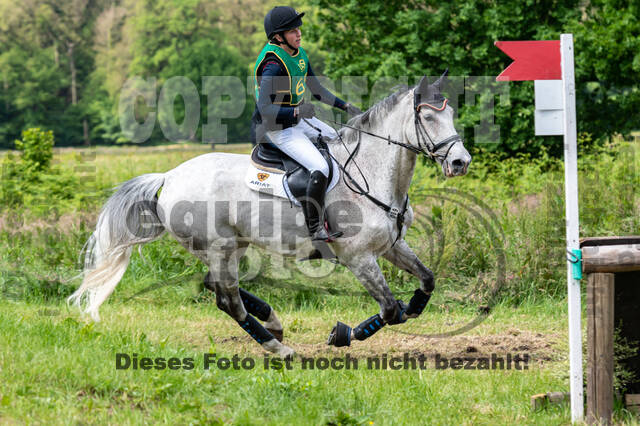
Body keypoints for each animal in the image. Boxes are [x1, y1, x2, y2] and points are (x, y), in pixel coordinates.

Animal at [68, 71, 471, 358]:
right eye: (427, 117)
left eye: (451, 113)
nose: (460, 162)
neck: (371, 173)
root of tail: (169, 177)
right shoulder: (359, 258)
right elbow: (389, 310)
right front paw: (343, 334)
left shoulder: (391, 246)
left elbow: (425, 283)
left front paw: (401, 309)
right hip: (219, 246)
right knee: (226, 299)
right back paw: (278, 347)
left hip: (231, 246)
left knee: (215, 286)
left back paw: (272, 322)